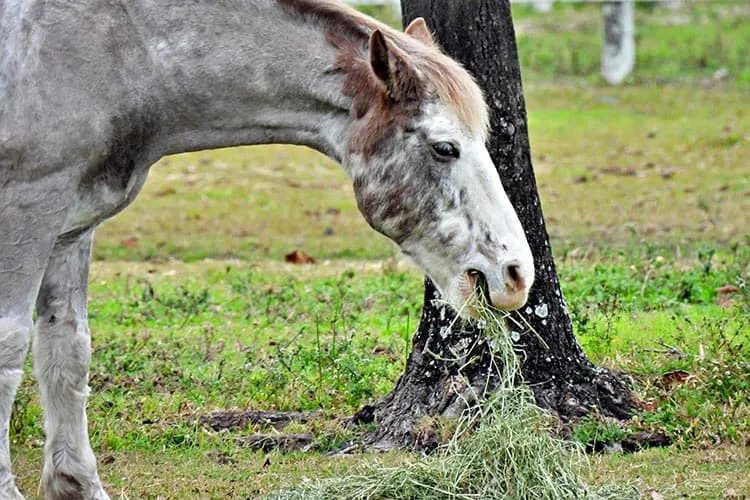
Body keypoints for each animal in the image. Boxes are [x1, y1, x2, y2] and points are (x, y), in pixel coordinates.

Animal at [0, 1, 534, 497]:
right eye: (445, 148)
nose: (517, 273)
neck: (118, 50)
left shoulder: (71, 229)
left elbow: (67, 350)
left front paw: (77, 483)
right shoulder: (30, 210)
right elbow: (10, 348)